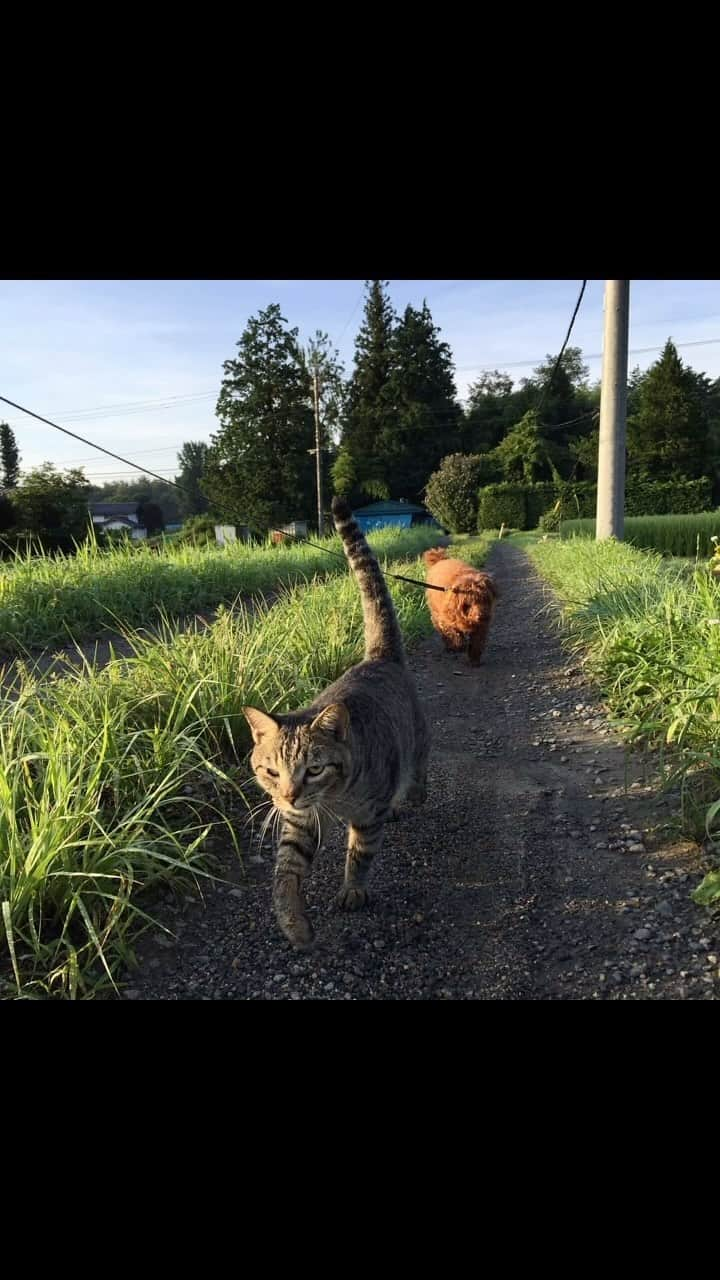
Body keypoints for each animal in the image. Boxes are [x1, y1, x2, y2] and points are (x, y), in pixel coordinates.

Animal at [243, 494, 427, 947]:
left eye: (314, 769)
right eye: (271, 771)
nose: (289, 795)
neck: (333, 798)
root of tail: (377, 657)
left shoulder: (366, 815)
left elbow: (359, 854)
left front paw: (353, 888)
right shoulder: (298, 823)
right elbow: (285, 873)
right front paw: (293, 921)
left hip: (417, 739)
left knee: (419, 768)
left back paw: (412, 794)